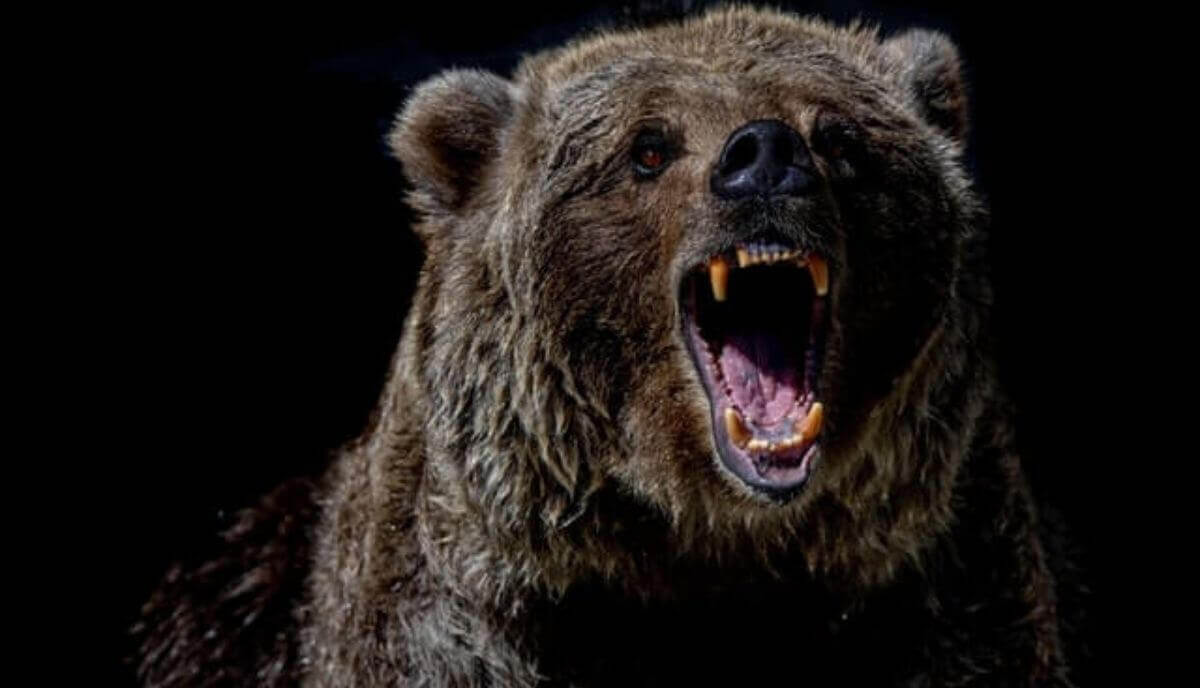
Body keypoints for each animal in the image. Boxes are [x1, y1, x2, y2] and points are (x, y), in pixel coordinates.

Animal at [133, 6, 1083, 686]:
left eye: (840, 137)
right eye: (649, 147)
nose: (764, 155)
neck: (704, 549)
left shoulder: (936, 592)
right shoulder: (467, 621)